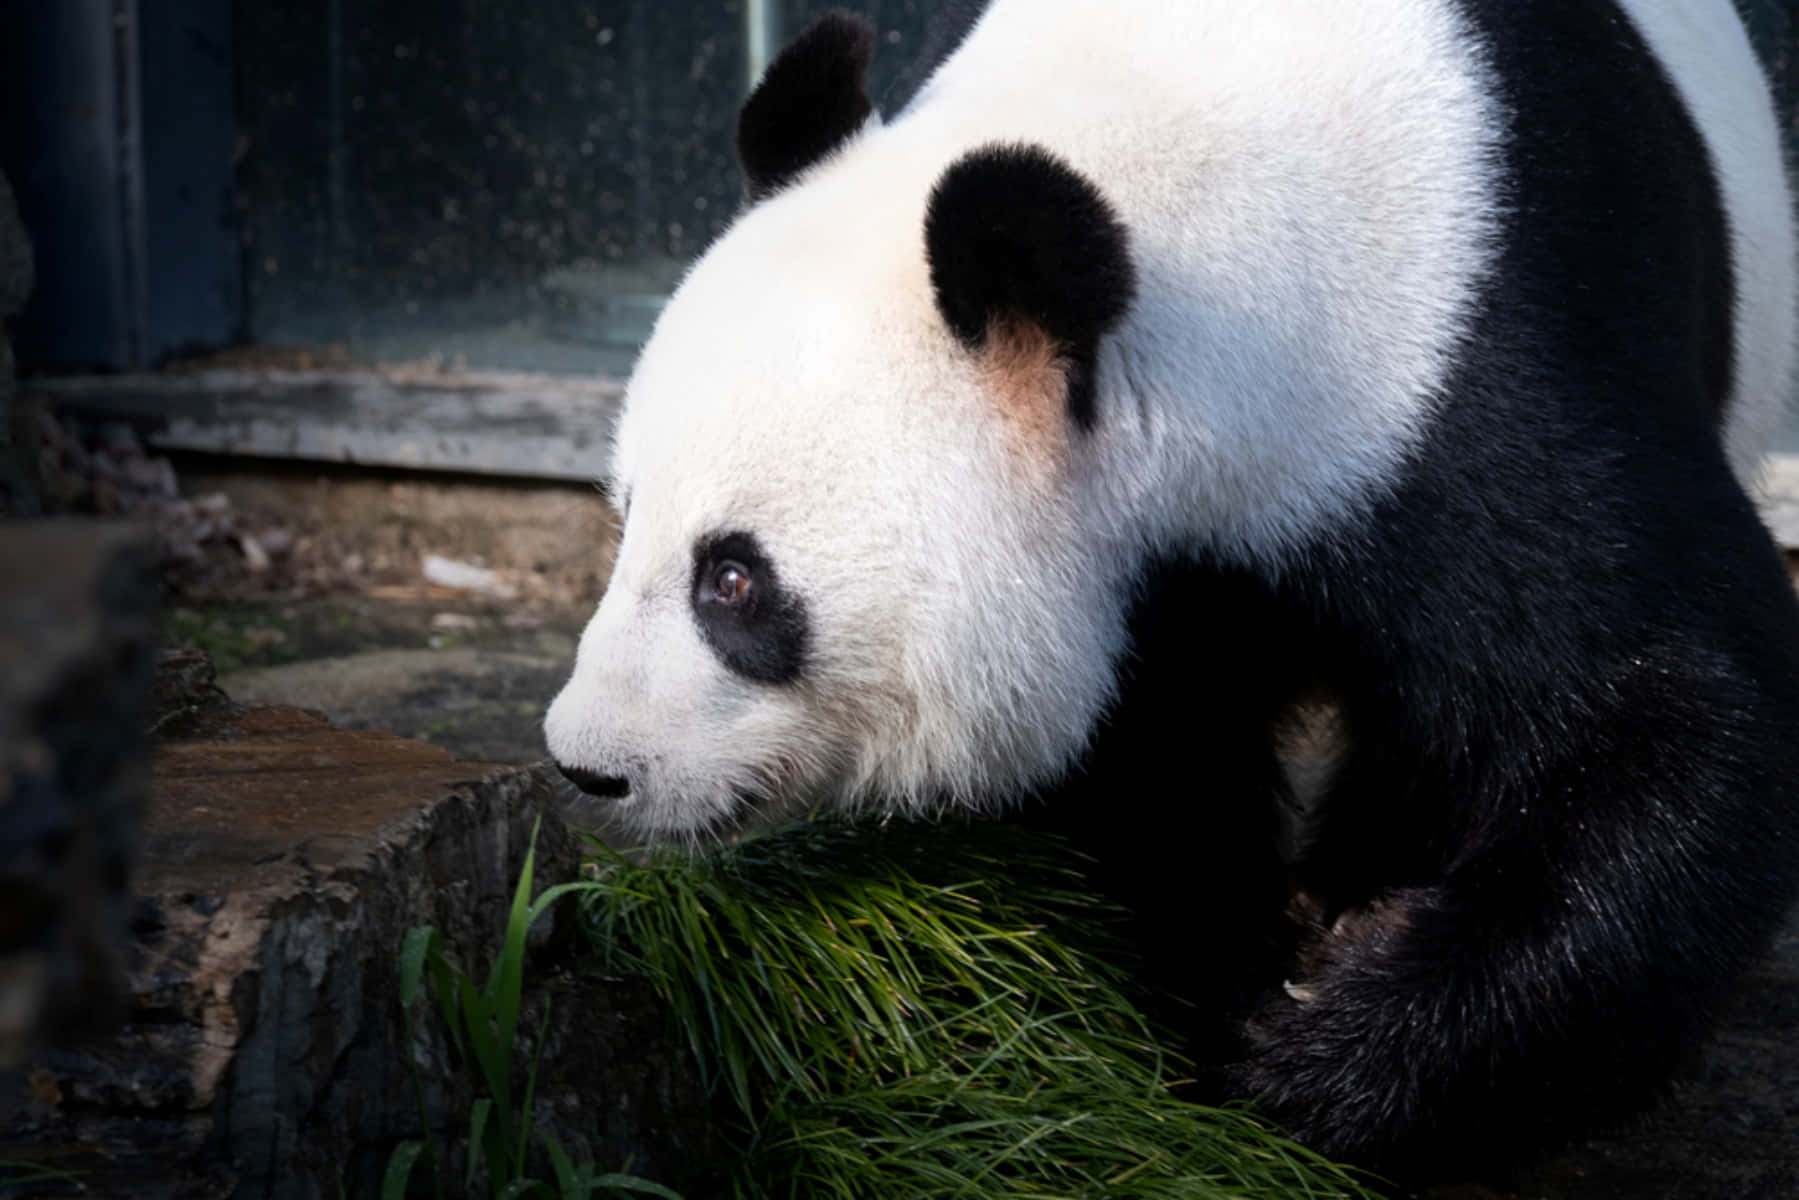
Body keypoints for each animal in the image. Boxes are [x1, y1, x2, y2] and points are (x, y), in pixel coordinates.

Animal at [543, 0, 1799, 1180]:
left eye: (733, 580)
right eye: (625, 522)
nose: (588, 763)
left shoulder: (1465, 364)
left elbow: (1673, 699)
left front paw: (1325, 1053)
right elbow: (1144, 774)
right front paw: (1198, 999)